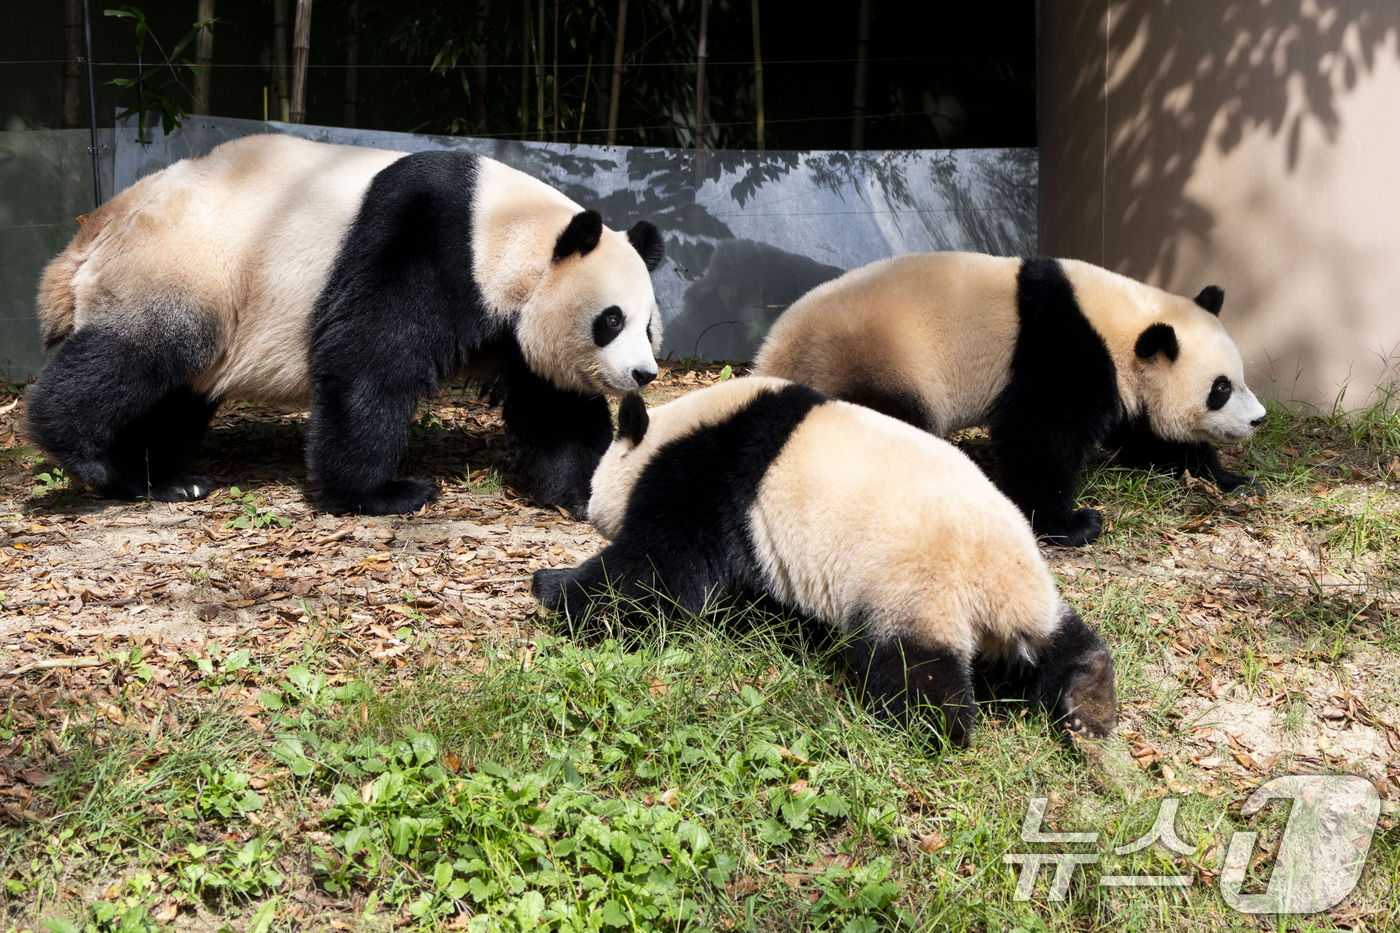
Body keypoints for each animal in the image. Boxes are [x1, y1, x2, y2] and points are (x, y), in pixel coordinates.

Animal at [24, 131, 663, 512]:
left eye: (648, 326)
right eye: (610, 319)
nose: (644, 375)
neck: (508, 228)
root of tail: (102, 219)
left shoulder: (515, 319)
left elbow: (553, 405)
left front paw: (587, 489)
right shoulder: (424, 240)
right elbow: (369, 361)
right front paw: (383, 493)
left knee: (175, 394)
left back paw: (168, 479)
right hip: (184, 264)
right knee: (139, 355)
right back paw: (91, 457)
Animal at [529, 375, 1120, 745]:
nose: (583, 511)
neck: (678, 428)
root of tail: (990, 588)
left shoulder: (709, 476)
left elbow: (660, 570)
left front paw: (551, 587)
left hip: (911, 582)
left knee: (913, 664)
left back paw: (937, 726)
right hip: (1023, 582)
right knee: (1059, 637)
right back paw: (1088, 699)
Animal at [756, 252, 1271, 546]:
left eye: (1240, 378)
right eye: (1221, 388)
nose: (1259, 420)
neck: (1120, 322)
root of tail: (774, 355)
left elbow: (1147, 437)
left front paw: (1235, 480)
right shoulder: (1062, 346)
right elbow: (1041, 436)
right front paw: (1074, 524)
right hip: (872, 359)